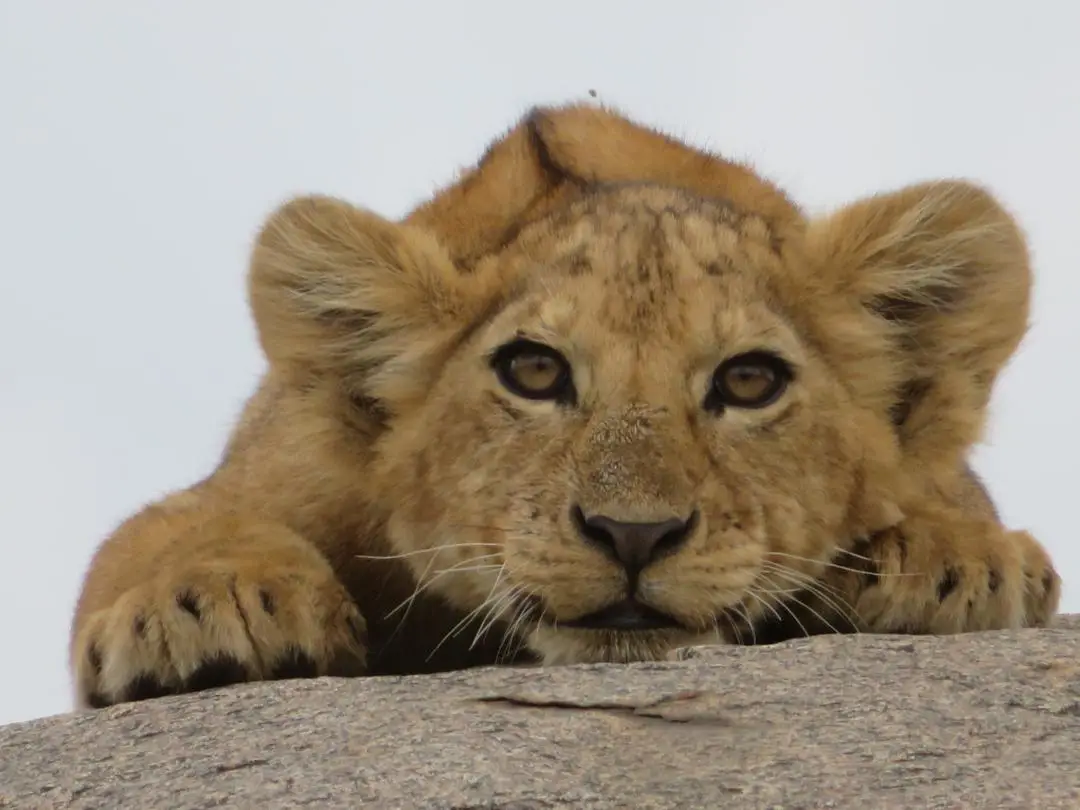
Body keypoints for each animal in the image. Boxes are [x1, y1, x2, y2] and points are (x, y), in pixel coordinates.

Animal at [70, 102, 1061, 708]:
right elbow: (160, 532)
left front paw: (958, 560)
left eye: (749, 381)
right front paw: (213, 603)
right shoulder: (272, 475)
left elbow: (949, 504)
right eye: (534, 372)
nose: (634, 535)